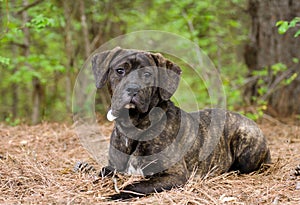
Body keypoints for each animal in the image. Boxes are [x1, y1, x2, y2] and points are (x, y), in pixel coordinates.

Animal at [90, 46, 270, 200]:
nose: (132, 88)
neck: (134, 125)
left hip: (246, 144)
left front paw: (115, 195)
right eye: (120, 70)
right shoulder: (112, 167)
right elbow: (101, 172)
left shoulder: (174, 175)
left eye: (147, 74)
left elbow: (137, 185)